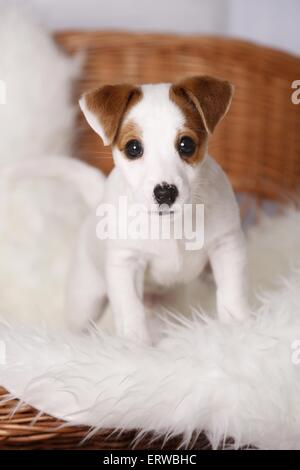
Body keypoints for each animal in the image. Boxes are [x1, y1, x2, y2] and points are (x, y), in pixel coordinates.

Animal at [67, 75, 250, 344]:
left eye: (186, 145)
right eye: (133, 148)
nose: (165, 193)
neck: (170, 225)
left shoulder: (226, 246)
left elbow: (231, 293)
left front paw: (238, 328)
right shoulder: (126, 263)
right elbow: (131, 311)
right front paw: (135, 345)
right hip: (85, 298)